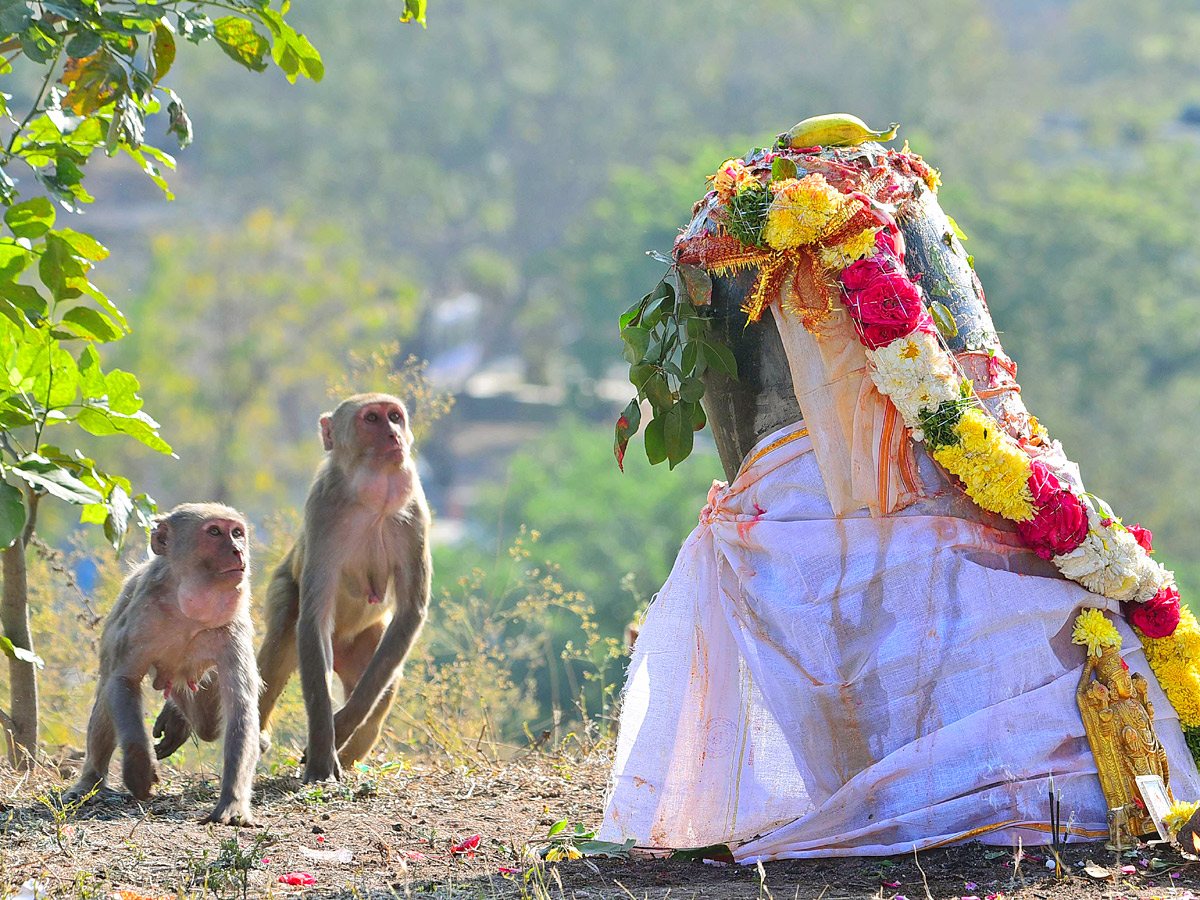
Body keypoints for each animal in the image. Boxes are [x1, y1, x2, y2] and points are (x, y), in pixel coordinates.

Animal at [68, 504, 260, 830]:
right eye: (214, 532)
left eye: (237, 533)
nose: (237, 550)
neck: (187, 611)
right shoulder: (143, 615)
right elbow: (124, 680)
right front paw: (139, 767)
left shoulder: (232, 627)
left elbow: (241, 708)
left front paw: (232, 802)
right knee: (109, 690)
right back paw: (91, 781)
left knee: (208, 723)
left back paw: (178, 717)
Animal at [157, 393, 432, 782]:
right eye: (372, 419)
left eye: (395, 417)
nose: (394, 435)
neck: (373, 504)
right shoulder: (323, 510)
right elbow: (313, 618)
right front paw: (321, 751)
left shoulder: (414, 514)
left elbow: (409, 613)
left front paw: (342, 726)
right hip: (282, 592)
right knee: (287, 630)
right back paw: (252, 731)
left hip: (364, 643)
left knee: (385, 675)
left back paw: (353, 750)